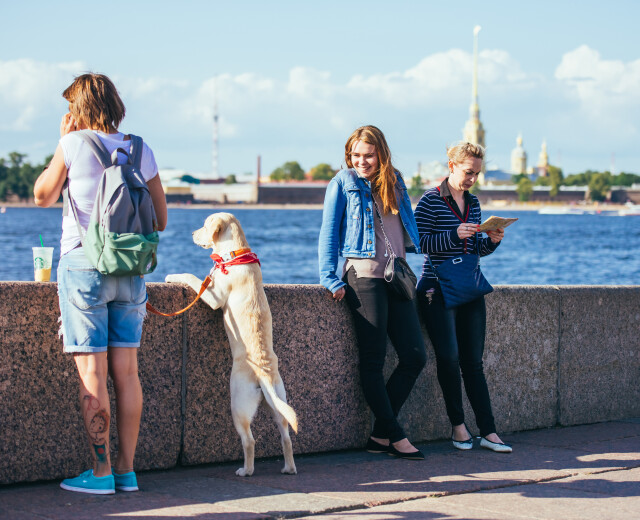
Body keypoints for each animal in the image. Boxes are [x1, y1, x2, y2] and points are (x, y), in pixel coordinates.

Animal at [164, 212, 296, 476]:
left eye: (204, 226)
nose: (191, 233)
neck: (234, 256)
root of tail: (264, 374)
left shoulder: (213, 296)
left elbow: (191, 277)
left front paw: (171, 275)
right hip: (278, 403)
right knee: (286, 437)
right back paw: (289, 468)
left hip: (238, 405)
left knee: (249, 440)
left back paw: (246, 470)